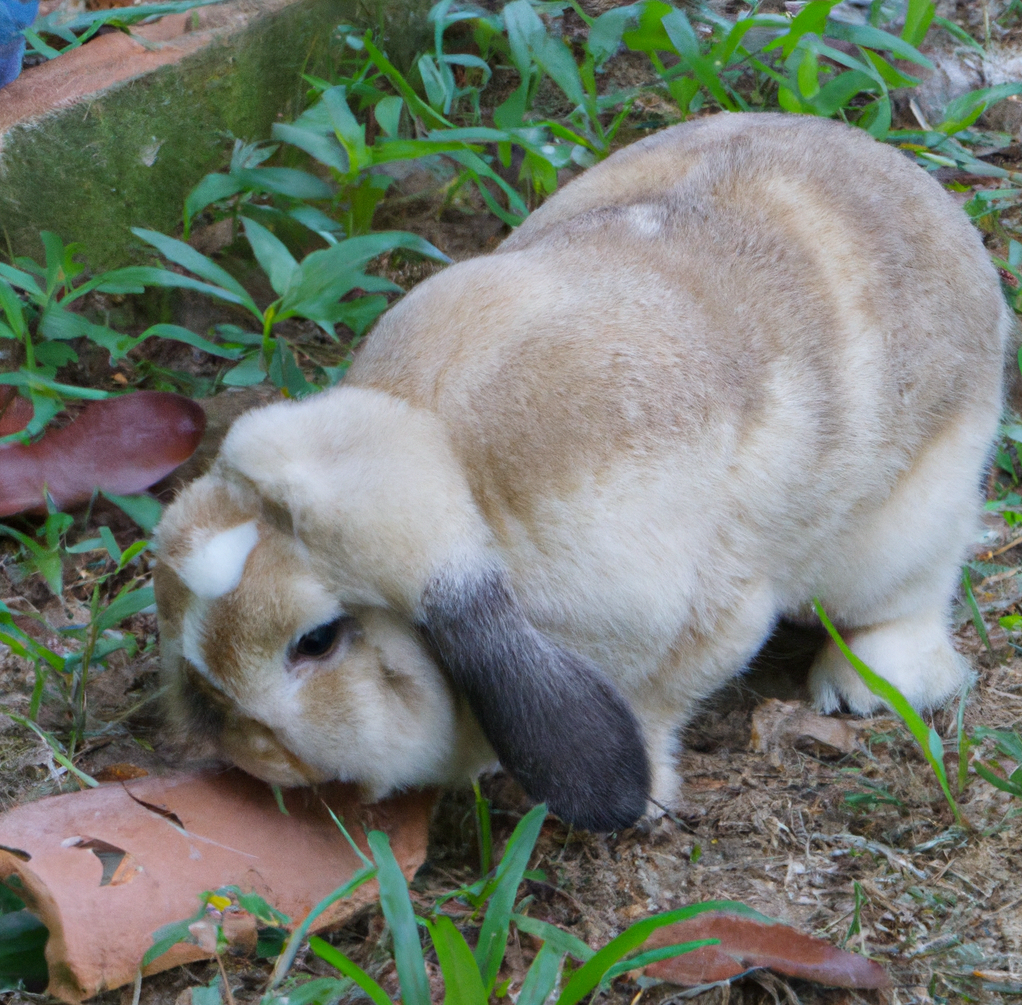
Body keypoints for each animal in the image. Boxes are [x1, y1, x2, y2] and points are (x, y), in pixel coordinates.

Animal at [153, 111, 1013, 834]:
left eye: (318, 640)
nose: (243, 752)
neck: (463, 477)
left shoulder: (712, 619)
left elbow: (655, 707)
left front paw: (644, 803)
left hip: (900, 533)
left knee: (914, 597)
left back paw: (865, 683)